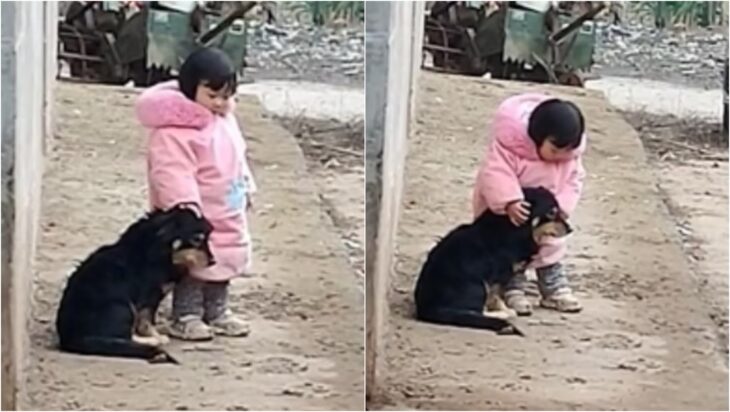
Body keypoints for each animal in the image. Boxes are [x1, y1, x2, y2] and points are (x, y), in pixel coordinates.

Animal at [55, 204, 215, 362]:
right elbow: (146, 321)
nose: (213, 261)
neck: (160, 250)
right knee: (124, 337)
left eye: (207, 238)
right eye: (196, 239)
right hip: (122, 307)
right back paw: (150, 342)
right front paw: (156, 336)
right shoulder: (148, 298)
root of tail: (71, 338)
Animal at [412, 187, 572, 334]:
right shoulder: (498, 276)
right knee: (475, 312)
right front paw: (505, 310)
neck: (516, 228)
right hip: (478, 286)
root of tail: (427, 308)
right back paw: (501, 316)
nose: (570, 229)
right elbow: (496, 297)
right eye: (551, 212)